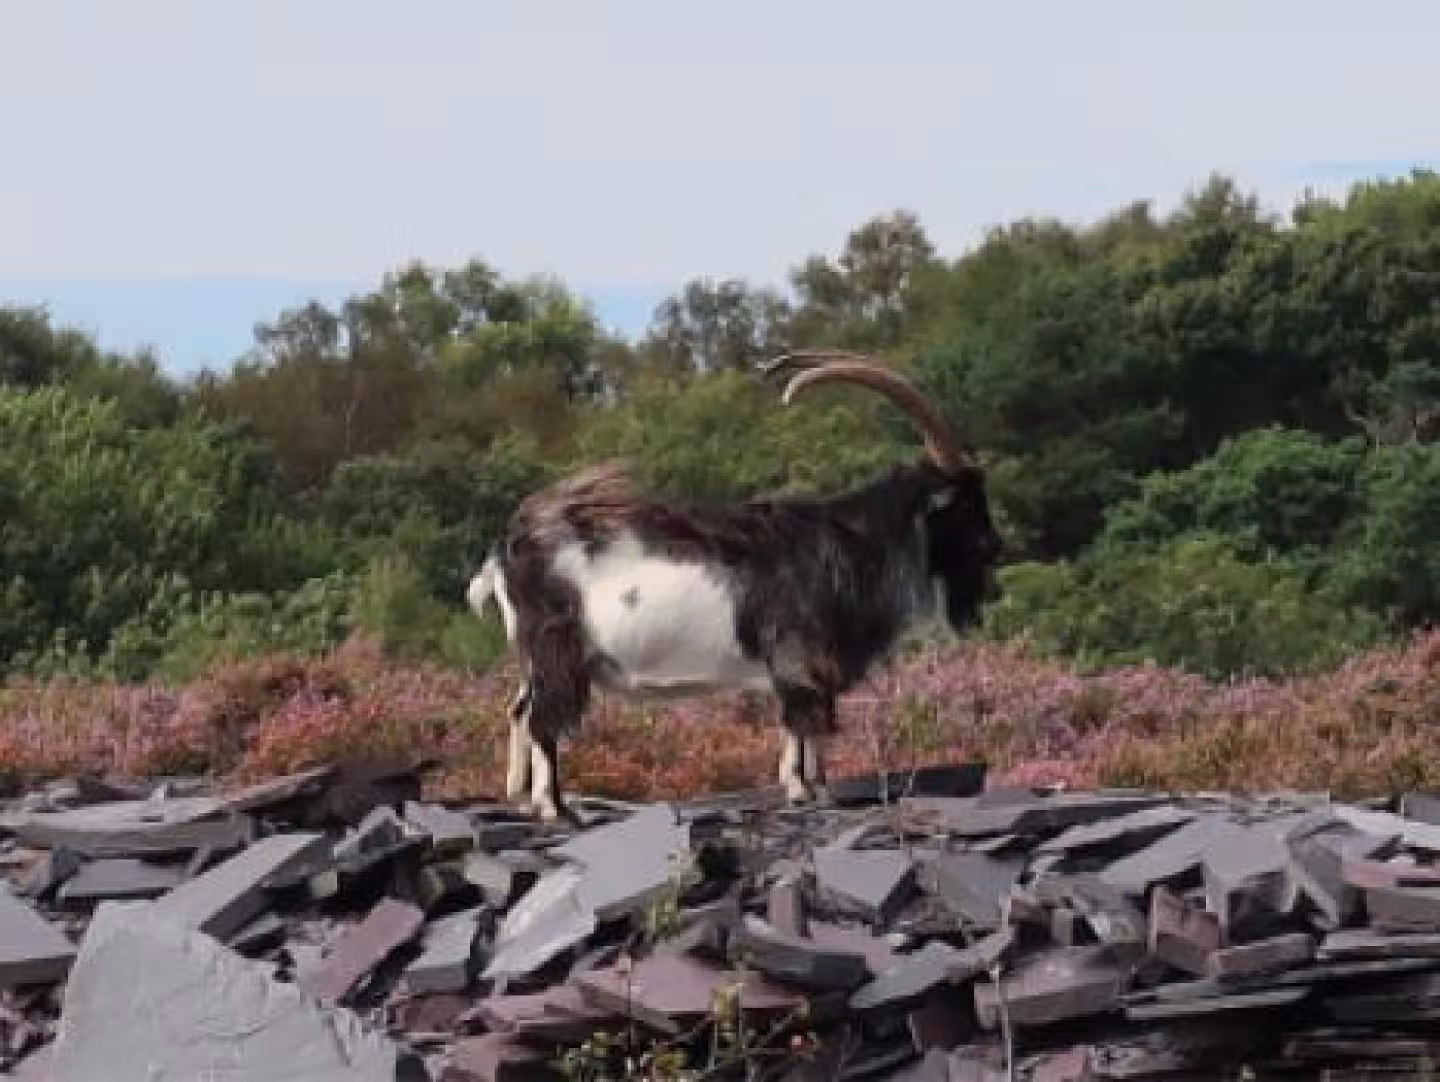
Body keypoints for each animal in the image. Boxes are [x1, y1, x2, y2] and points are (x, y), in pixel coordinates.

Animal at [465, 350, 1003, 822]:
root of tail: (507, 547)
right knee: (543, 719)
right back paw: (555, 809)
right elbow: (803, 718)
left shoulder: (809, 663)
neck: (848, 544)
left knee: (520, 710)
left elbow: (809, 723)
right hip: (557, 647)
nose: (996, 547)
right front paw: (803, 791)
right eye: (966, 504)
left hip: (534, 655)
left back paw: (522, 798)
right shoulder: (797, 653)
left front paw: (815, 788)